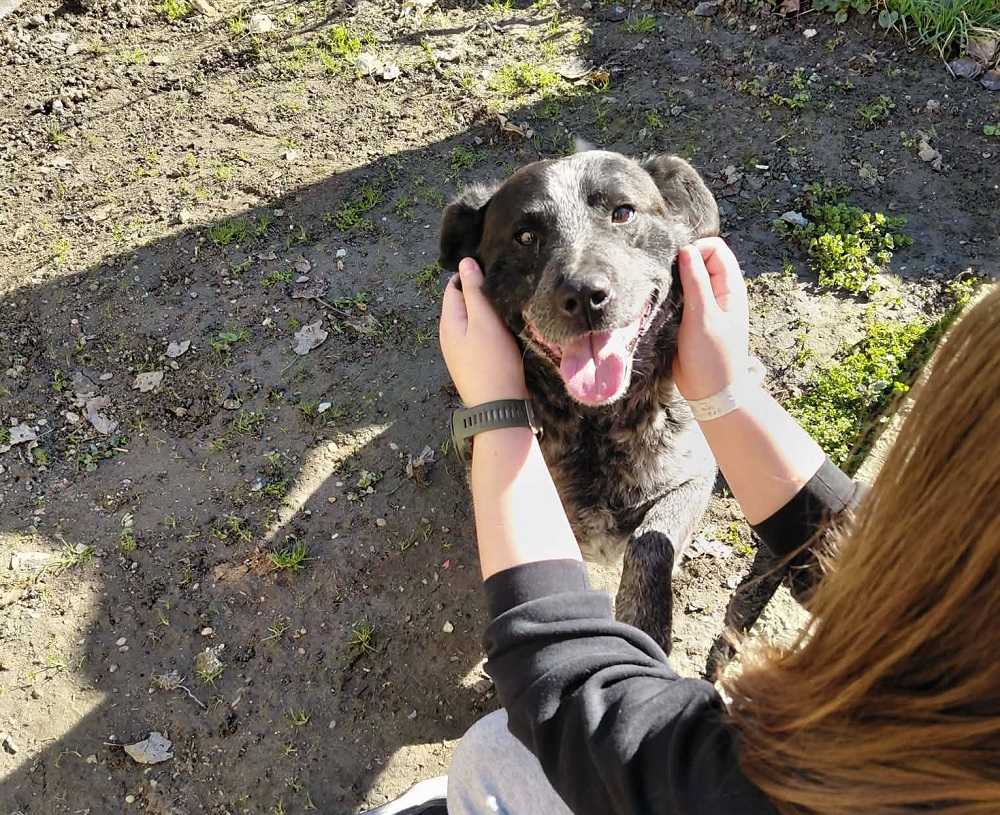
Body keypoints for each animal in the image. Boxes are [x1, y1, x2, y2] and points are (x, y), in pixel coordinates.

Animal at [439, 150, 720, 652]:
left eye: (623, 212)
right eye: (525, 236)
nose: (585, 295)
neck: (599, 422)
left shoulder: (694, 477)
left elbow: (652, 539)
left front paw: (645, 622)